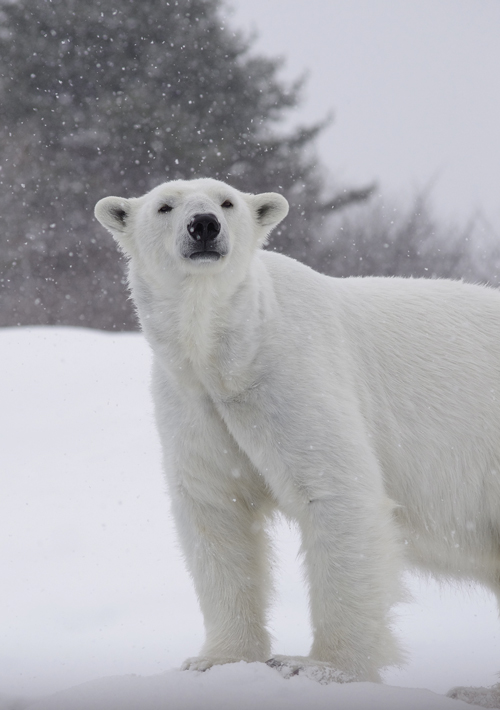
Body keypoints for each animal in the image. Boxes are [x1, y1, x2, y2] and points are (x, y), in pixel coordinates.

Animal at [94, 178, 500, 688]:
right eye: (165, 206)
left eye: (226, 201)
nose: (204, 225)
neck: (231, 354)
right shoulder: (193, 405)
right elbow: (215, 511)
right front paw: (216, 658)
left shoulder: (293, 375)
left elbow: (336, 495)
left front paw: (319, 664)